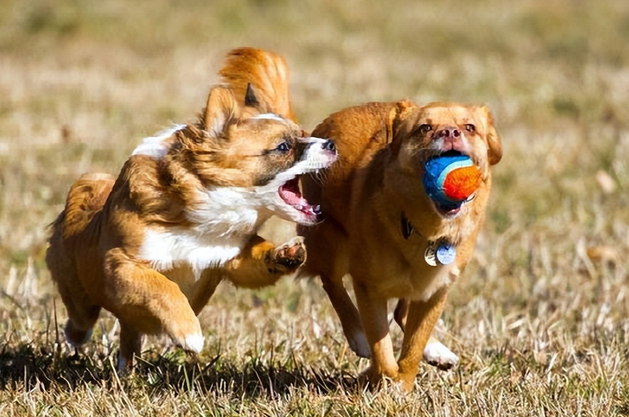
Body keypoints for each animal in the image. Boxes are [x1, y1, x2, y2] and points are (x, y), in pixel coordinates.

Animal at [46, 47, 336, 368]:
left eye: (305, 133)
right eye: (284, 147)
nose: (331, 143)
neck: (205, 218)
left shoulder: (229, 259)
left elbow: (256, 262)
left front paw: (287, 253)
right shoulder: (122, 266)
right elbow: (163, 287)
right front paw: (189, 333)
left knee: (128, 335)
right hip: (78, 291)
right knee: (82, 319)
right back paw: (76, 337)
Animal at [300, 100, 500, 390]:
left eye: (470, 127)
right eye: (424, 128)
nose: (450, 131)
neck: (427, 228)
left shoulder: (435, 291)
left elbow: (414, 345)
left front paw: (402, 381)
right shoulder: (369, 288)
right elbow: (381, 348)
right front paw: (384, 379)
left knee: (402, 311)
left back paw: (437, 351)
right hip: (330, 242)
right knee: (331, 282)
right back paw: (358, 335)